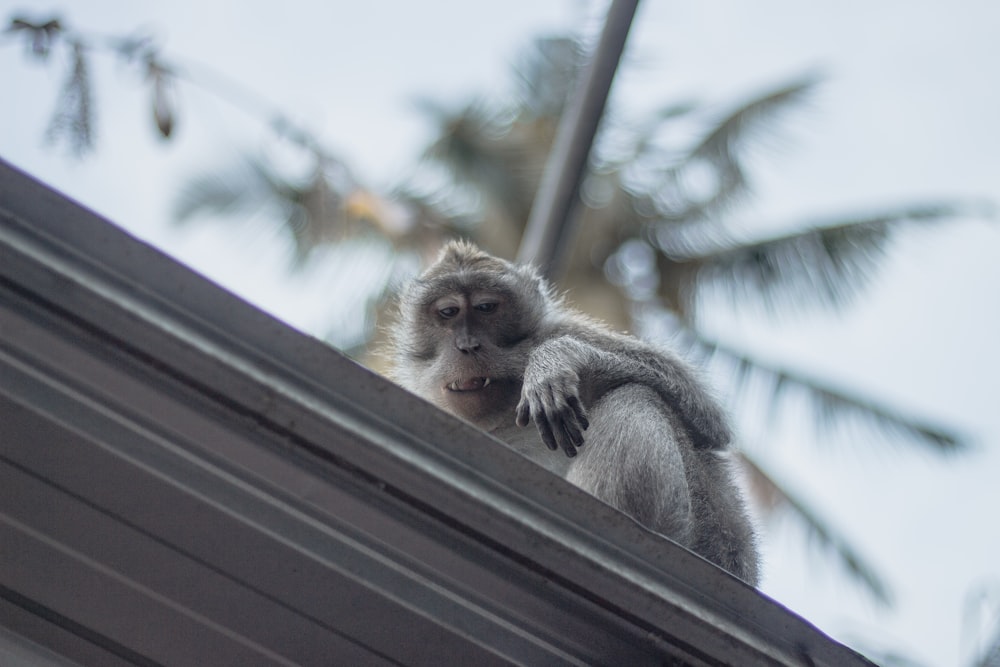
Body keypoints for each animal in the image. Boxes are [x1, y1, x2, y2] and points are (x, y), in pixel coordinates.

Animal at [388, 240, 756, 584]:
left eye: (486, 307)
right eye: (448, 312)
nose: (467, 345)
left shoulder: (558, 330)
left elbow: (707, 416)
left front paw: (555, 360)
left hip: (704, 533)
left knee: (637, 395)